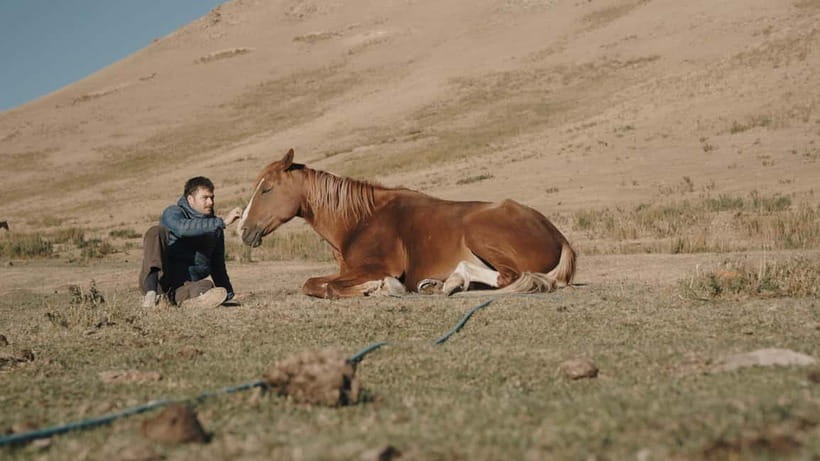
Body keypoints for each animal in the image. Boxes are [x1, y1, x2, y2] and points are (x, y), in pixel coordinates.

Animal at [239, 149, 576, 299]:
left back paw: (451, 281)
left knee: (509, 276)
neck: (360, 220)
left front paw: (381, 287)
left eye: (266, 189)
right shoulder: (349, 270)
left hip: (480, 232)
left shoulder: (375, 267)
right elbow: (312, 283)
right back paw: (441, 283)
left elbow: (328, 287)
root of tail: (558, 236)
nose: (243, 230)